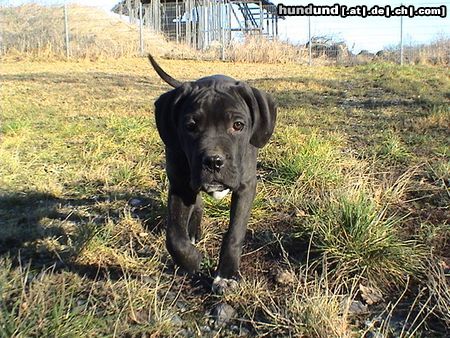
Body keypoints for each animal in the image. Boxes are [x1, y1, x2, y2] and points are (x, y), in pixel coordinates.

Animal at [149, 55, 274, 294]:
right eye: (190, 126)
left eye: (238, 125)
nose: (213, 162)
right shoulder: (180, 185)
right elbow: (174, 236)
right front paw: (191, 260)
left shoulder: (246, 186)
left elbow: (234, 233)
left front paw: (226, 274)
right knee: (196, 205)